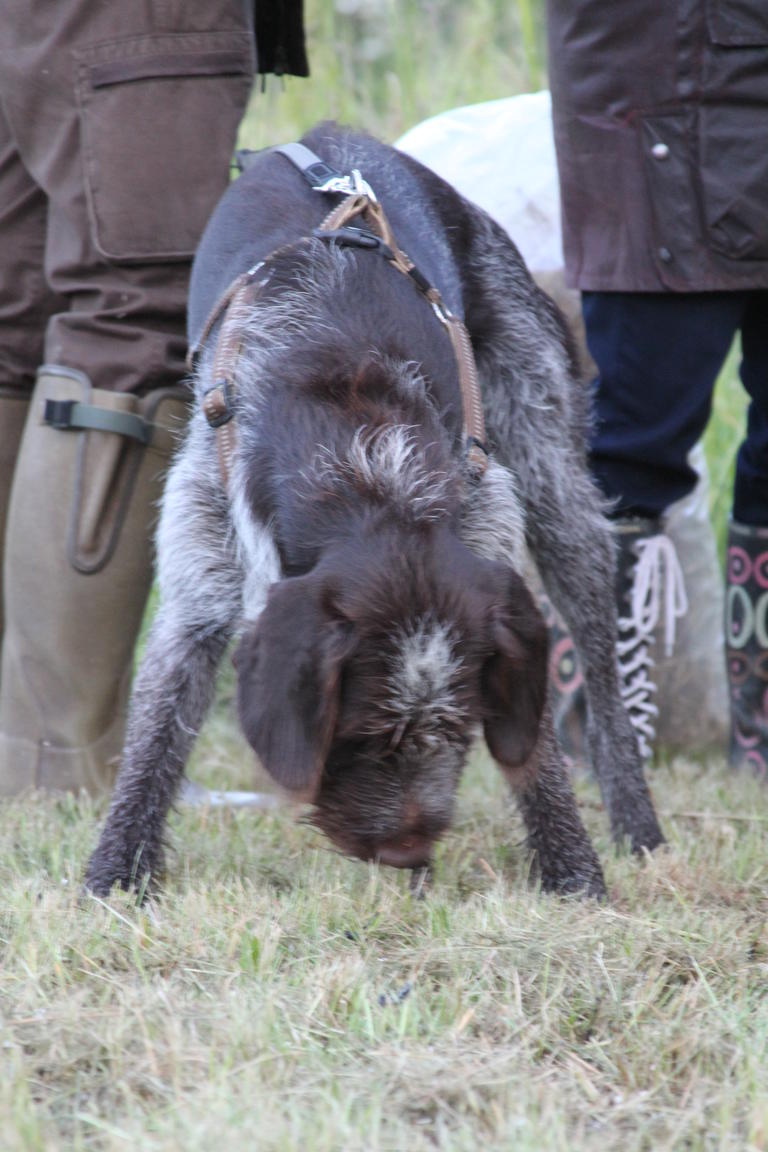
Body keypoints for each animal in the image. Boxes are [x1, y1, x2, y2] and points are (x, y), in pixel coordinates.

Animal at [82, 123, 663, 898]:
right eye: (357, 735)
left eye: (456, 729)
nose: (407, 855)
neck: (365, 473)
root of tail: (330, 137)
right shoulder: (198, 591)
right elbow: (154, 745)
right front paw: (113, 876)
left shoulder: (490, 559)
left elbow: (536, 752)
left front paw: (574, 875)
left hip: (558, 494)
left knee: (603, 690)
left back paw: (636, 820)